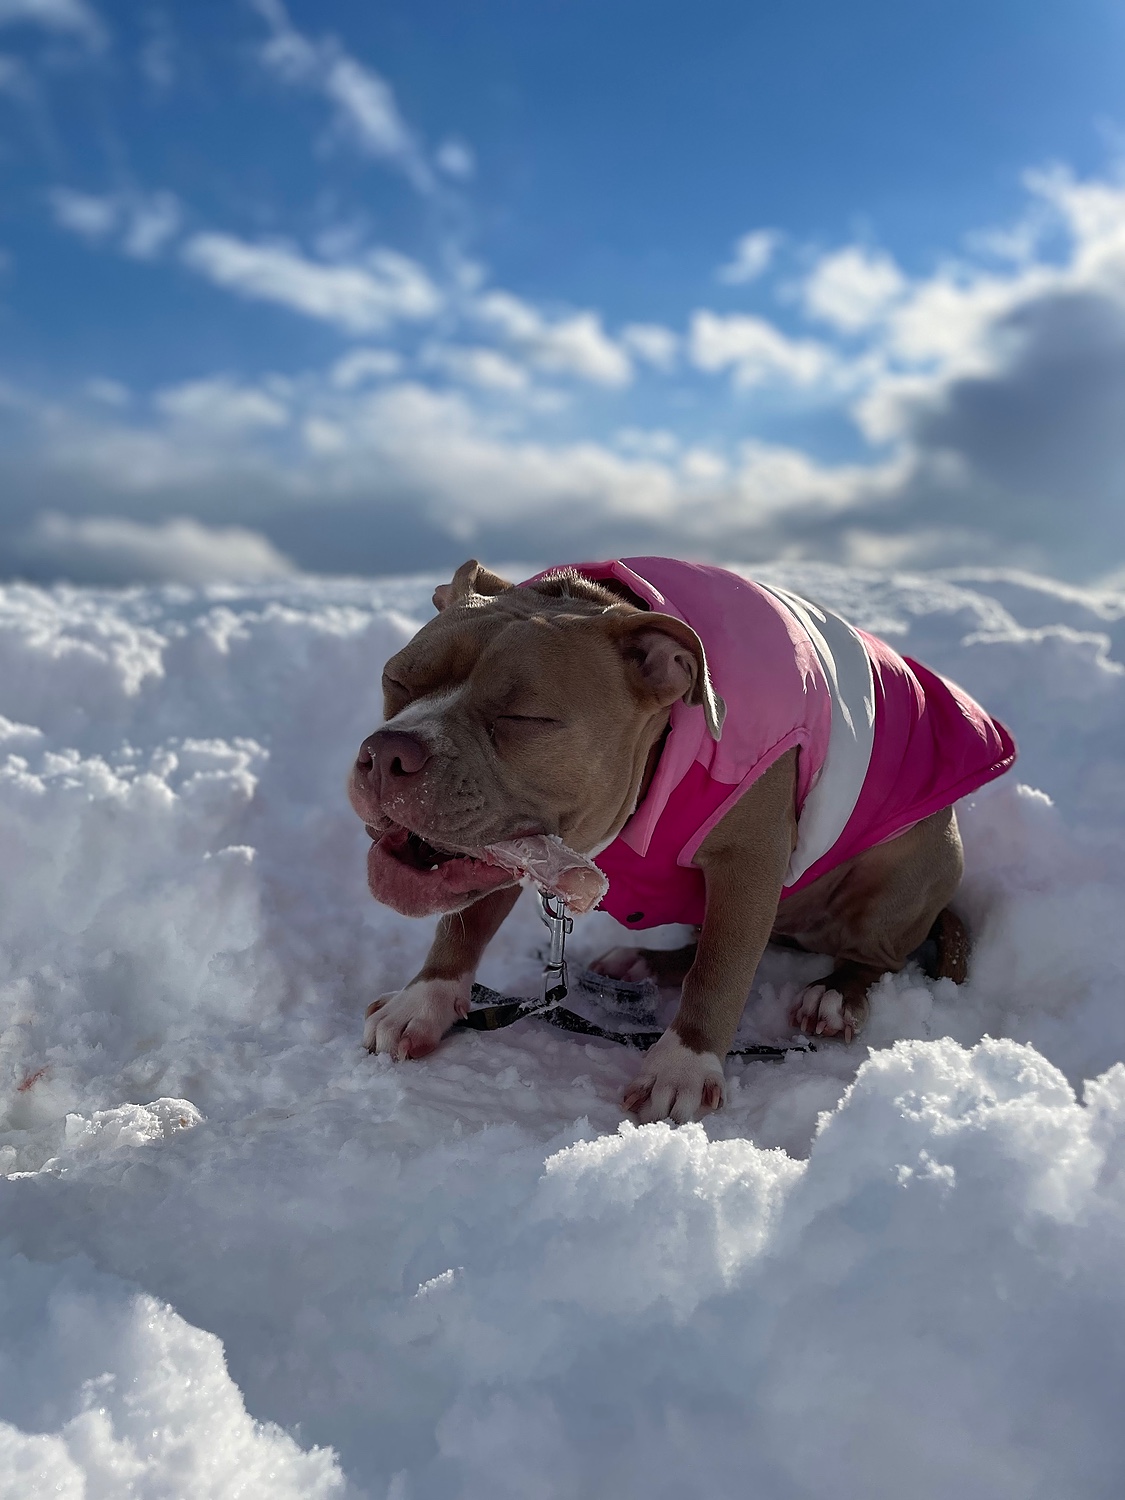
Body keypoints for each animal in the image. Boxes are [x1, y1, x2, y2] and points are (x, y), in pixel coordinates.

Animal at [348, 558, 1020, 1122]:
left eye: (523, 718)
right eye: (397, 680)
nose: (387, 754)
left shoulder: (748, 859)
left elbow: (719, 970)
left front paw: (682, 1068)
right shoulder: (518, 844)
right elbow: (465, 921)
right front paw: (424, 1002)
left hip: (905, 867)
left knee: (871, 958)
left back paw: (833, 995)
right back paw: (644, 963)